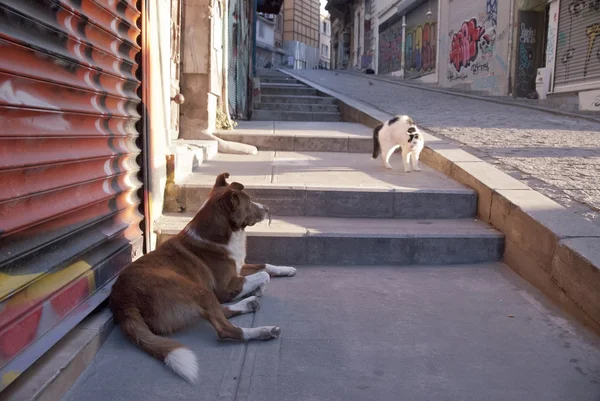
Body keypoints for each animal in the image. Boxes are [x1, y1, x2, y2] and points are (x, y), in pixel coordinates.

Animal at [110, 171, 298, 382]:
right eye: (249, 202)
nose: (267, 209)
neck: (219, 235)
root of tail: (123, 302)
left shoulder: (238, 267)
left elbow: (266, 266)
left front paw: (286, 269)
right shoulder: (226, 287)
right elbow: (263, 274)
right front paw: (259, 289)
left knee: (221, 312)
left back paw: (249, 304)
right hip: (196, 289)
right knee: (225, 328)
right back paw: (264, 330)